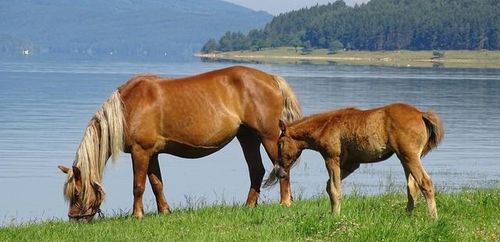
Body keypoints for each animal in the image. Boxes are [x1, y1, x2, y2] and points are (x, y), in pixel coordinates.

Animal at [58, 65, 300, 220]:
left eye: (77, 193)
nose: (75, 219)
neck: (128, 106)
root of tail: (271, 78)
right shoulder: (152, 153)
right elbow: (157, 184)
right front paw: (164, 211)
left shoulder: (140, 151)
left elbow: (138, 186)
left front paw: (137, 215)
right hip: (247, 138)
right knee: (256, 170)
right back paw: (249, 206)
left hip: (269, 137)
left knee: (282, 168)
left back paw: (285, 202)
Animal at [268, 103, 444, 218]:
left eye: (280, 143)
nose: (278, 172)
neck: (325, 126)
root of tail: (421, 114)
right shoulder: (351, 164)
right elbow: (329, 187)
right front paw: (333, 213)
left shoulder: (331, 158)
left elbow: (334, 189)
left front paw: (336, 217)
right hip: (404, 158)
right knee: (412, 187)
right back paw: (407, 216)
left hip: (410, 157)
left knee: (425, 183)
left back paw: (433, 218)